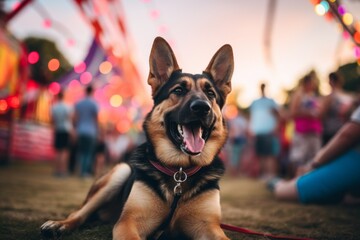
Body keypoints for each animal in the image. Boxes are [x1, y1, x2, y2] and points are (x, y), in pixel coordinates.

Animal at [40, 36, 235, 239]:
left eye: (210, 94)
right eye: (178, 90)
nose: (202, 107)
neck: (179, 172)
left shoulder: (209, 226)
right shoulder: (129, 222)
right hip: (120, 172)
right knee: (79, 214)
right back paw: (59, 225)